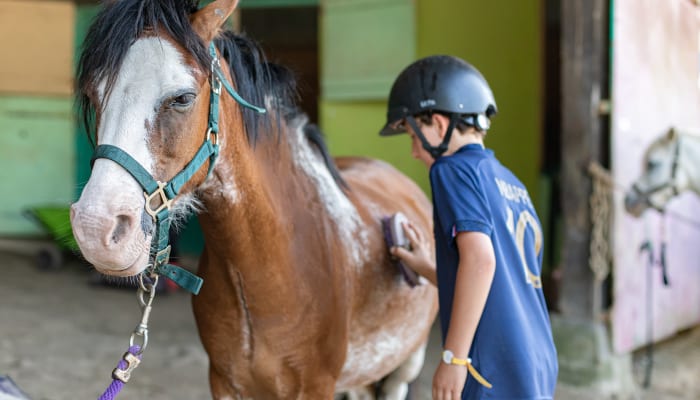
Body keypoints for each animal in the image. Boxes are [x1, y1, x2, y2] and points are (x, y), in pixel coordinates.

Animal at [69, 0, 438, 398]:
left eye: (183, 98)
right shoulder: (224, 381)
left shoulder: (317, 386)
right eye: (92, 95)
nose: (95, 228)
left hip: (404, 364)